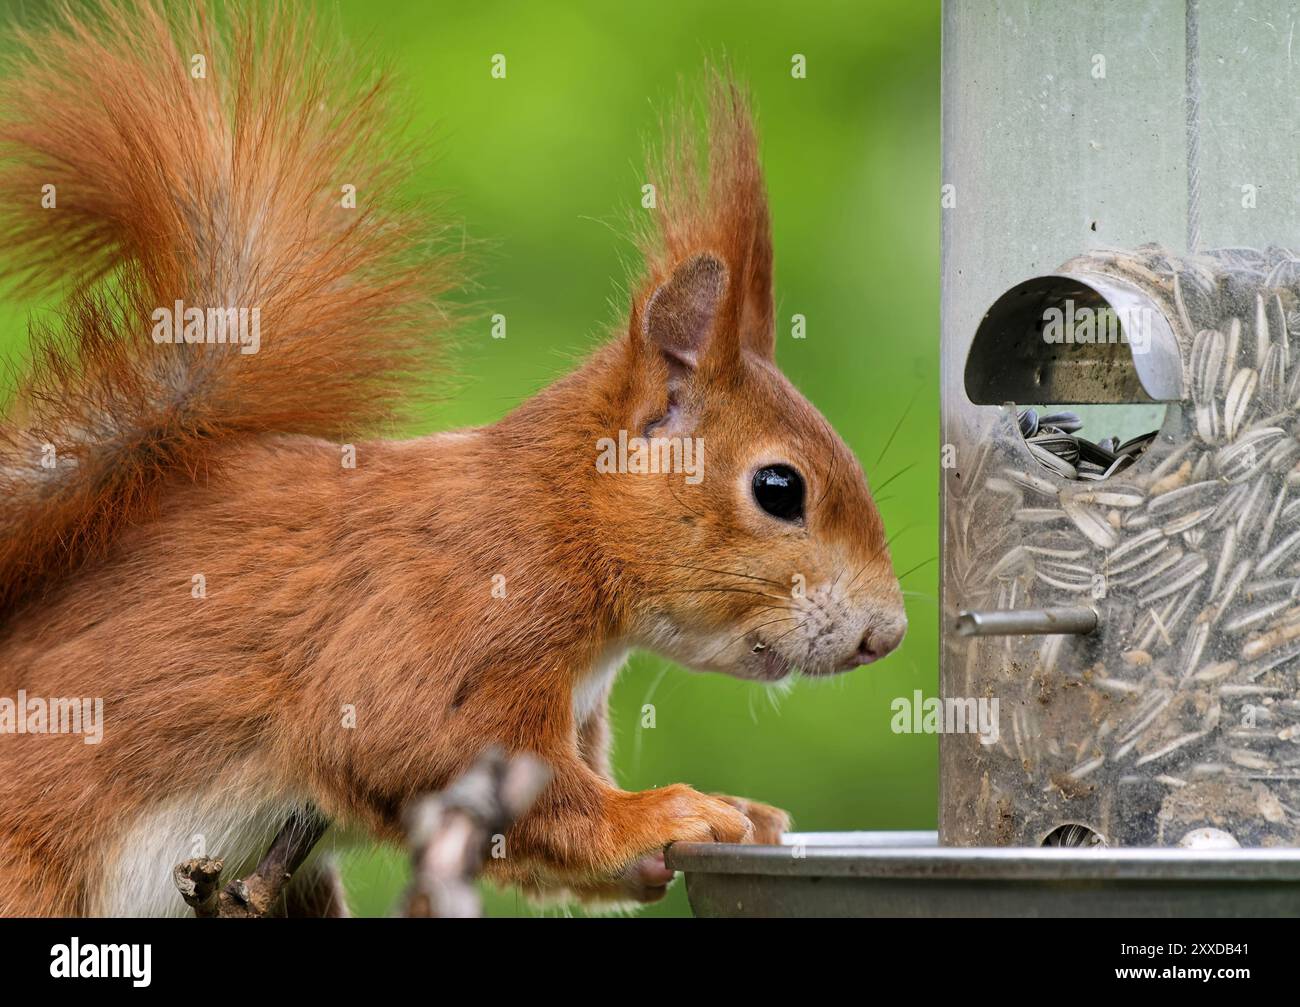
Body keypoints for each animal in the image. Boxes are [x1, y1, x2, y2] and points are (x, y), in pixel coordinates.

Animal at [0, 1, 907, 916]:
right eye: (779, 487)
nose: (887, 634)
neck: (561, 522)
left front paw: (732, 816)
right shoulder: (444, 621)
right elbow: (426, 746)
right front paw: (662, 813)